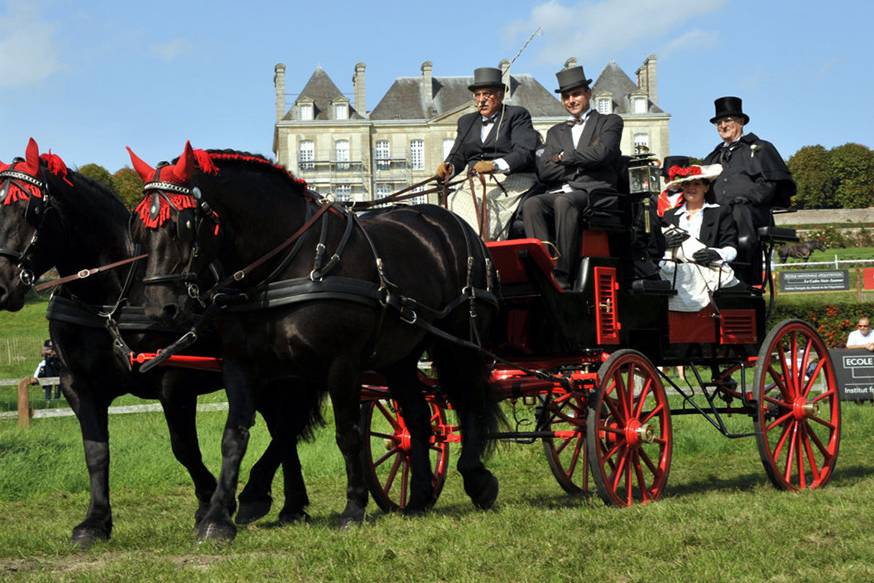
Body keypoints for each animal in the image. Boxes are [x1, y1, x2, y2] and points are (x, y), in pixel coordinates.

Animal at [0, 140, 320, 548]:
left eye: (32, 209)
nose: (0, 285)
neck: (115, 294)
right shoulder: (78, 385)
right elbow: (96, 450)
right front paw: (95, 521)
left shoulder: (175, 382)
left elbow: (183, 448)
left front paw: (210, 505)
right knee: (284, 428)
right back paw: (290, 505)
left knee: (287, 425)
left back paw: (261, 497)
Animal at [126, 144, 500, 540]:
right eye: (140, 229)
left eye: (181, 224)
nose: (159, 308)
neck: (285, 264)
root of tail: (448, 222)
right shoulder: (242, 365)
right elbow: (235, 436)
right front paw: (217, 517)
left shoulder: (340, 365)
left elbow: (346, 433)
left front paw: (352, 508)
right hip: (400, 356)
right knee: (417, 419)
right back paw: (418, 498)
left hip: (460, 341)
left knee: (470, 400)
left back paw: (476, 479)